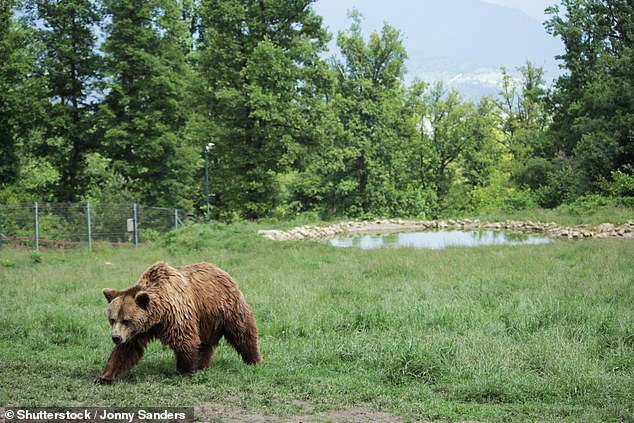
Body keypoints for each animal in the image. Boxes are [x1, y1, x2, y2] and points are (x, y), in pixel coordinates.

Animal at [94, 260, 262, 386]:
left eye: (126, 320)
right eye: (112, 319)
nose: (116, 337)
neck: (158, 315)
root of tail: (221, 270)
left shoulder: (176, 313)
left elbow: (184, 340)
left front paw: (184, 371)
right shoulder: (139, 330)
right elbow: (126, 350)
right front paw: (104, 376)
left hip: (226, 308)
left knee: (242, 332)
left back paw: (253, 360)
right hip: (206, 319)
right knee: (205, 343)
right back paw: (202, 365)